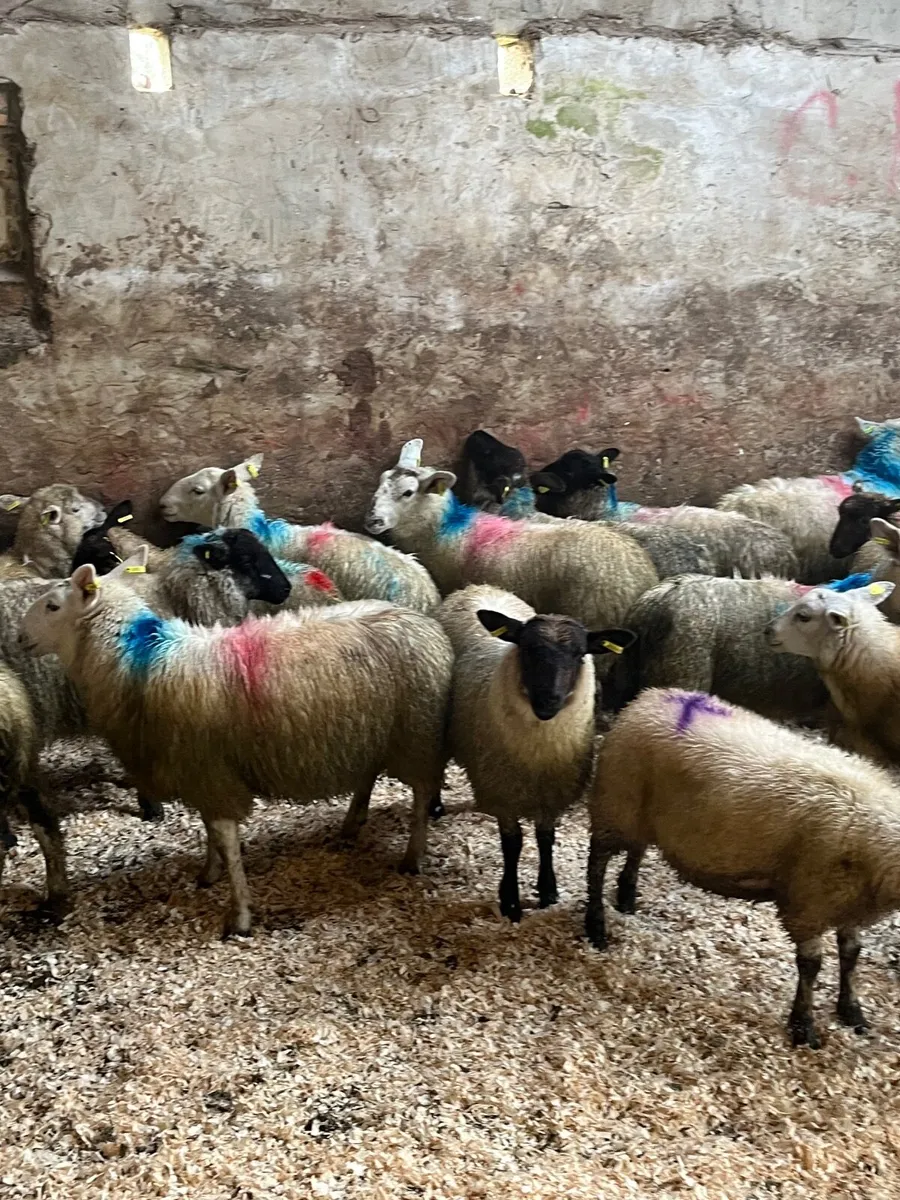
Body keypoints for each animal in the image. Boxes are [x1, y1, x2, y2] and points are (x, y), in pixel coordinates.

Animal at [20, 565, 454, 936]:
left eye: (53, 606)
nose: (20, 639)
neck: (140, 661)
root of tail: (425, 621)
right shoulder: (201, 770)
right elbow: (210, 830)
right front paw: (208, 873)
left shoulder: (212, 773)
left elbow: (227, 842)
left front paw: (239, 915)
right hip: (369, 730)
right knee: (368, 773)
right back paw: (352, 823)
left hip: (416, 734)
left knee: (420, 796)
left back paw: (413, 857)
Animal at [364, 444, 659, 632]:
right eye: (380, 481)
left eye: (408, 492)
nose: (372, 520)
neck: (444, 527)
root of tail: (641, 573)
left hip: (596, 613)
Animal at [439, 584, 633, 920]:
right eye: (527, 649)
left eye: (579, 654)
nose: (547, 701)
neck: (537, 756)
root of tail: (481, 587)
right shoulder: (503, 793)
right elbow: (513, 844)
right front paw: (510, 902)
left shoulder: (551, 794)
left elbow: (545, 839)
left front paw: (548, 891)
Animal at [585, 685, 900, 1048]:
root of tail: (647, 697)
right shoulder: (807, 904)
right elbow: (811, 965)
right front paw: (803, 1026)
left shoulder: (847, 903)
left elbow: (851, 954)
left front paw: (852, 1011)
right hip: (615, 807)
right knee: (596, 864)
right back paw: (595, 926)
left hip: (640, 817)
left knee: (636, 852)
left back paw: (626, 898)